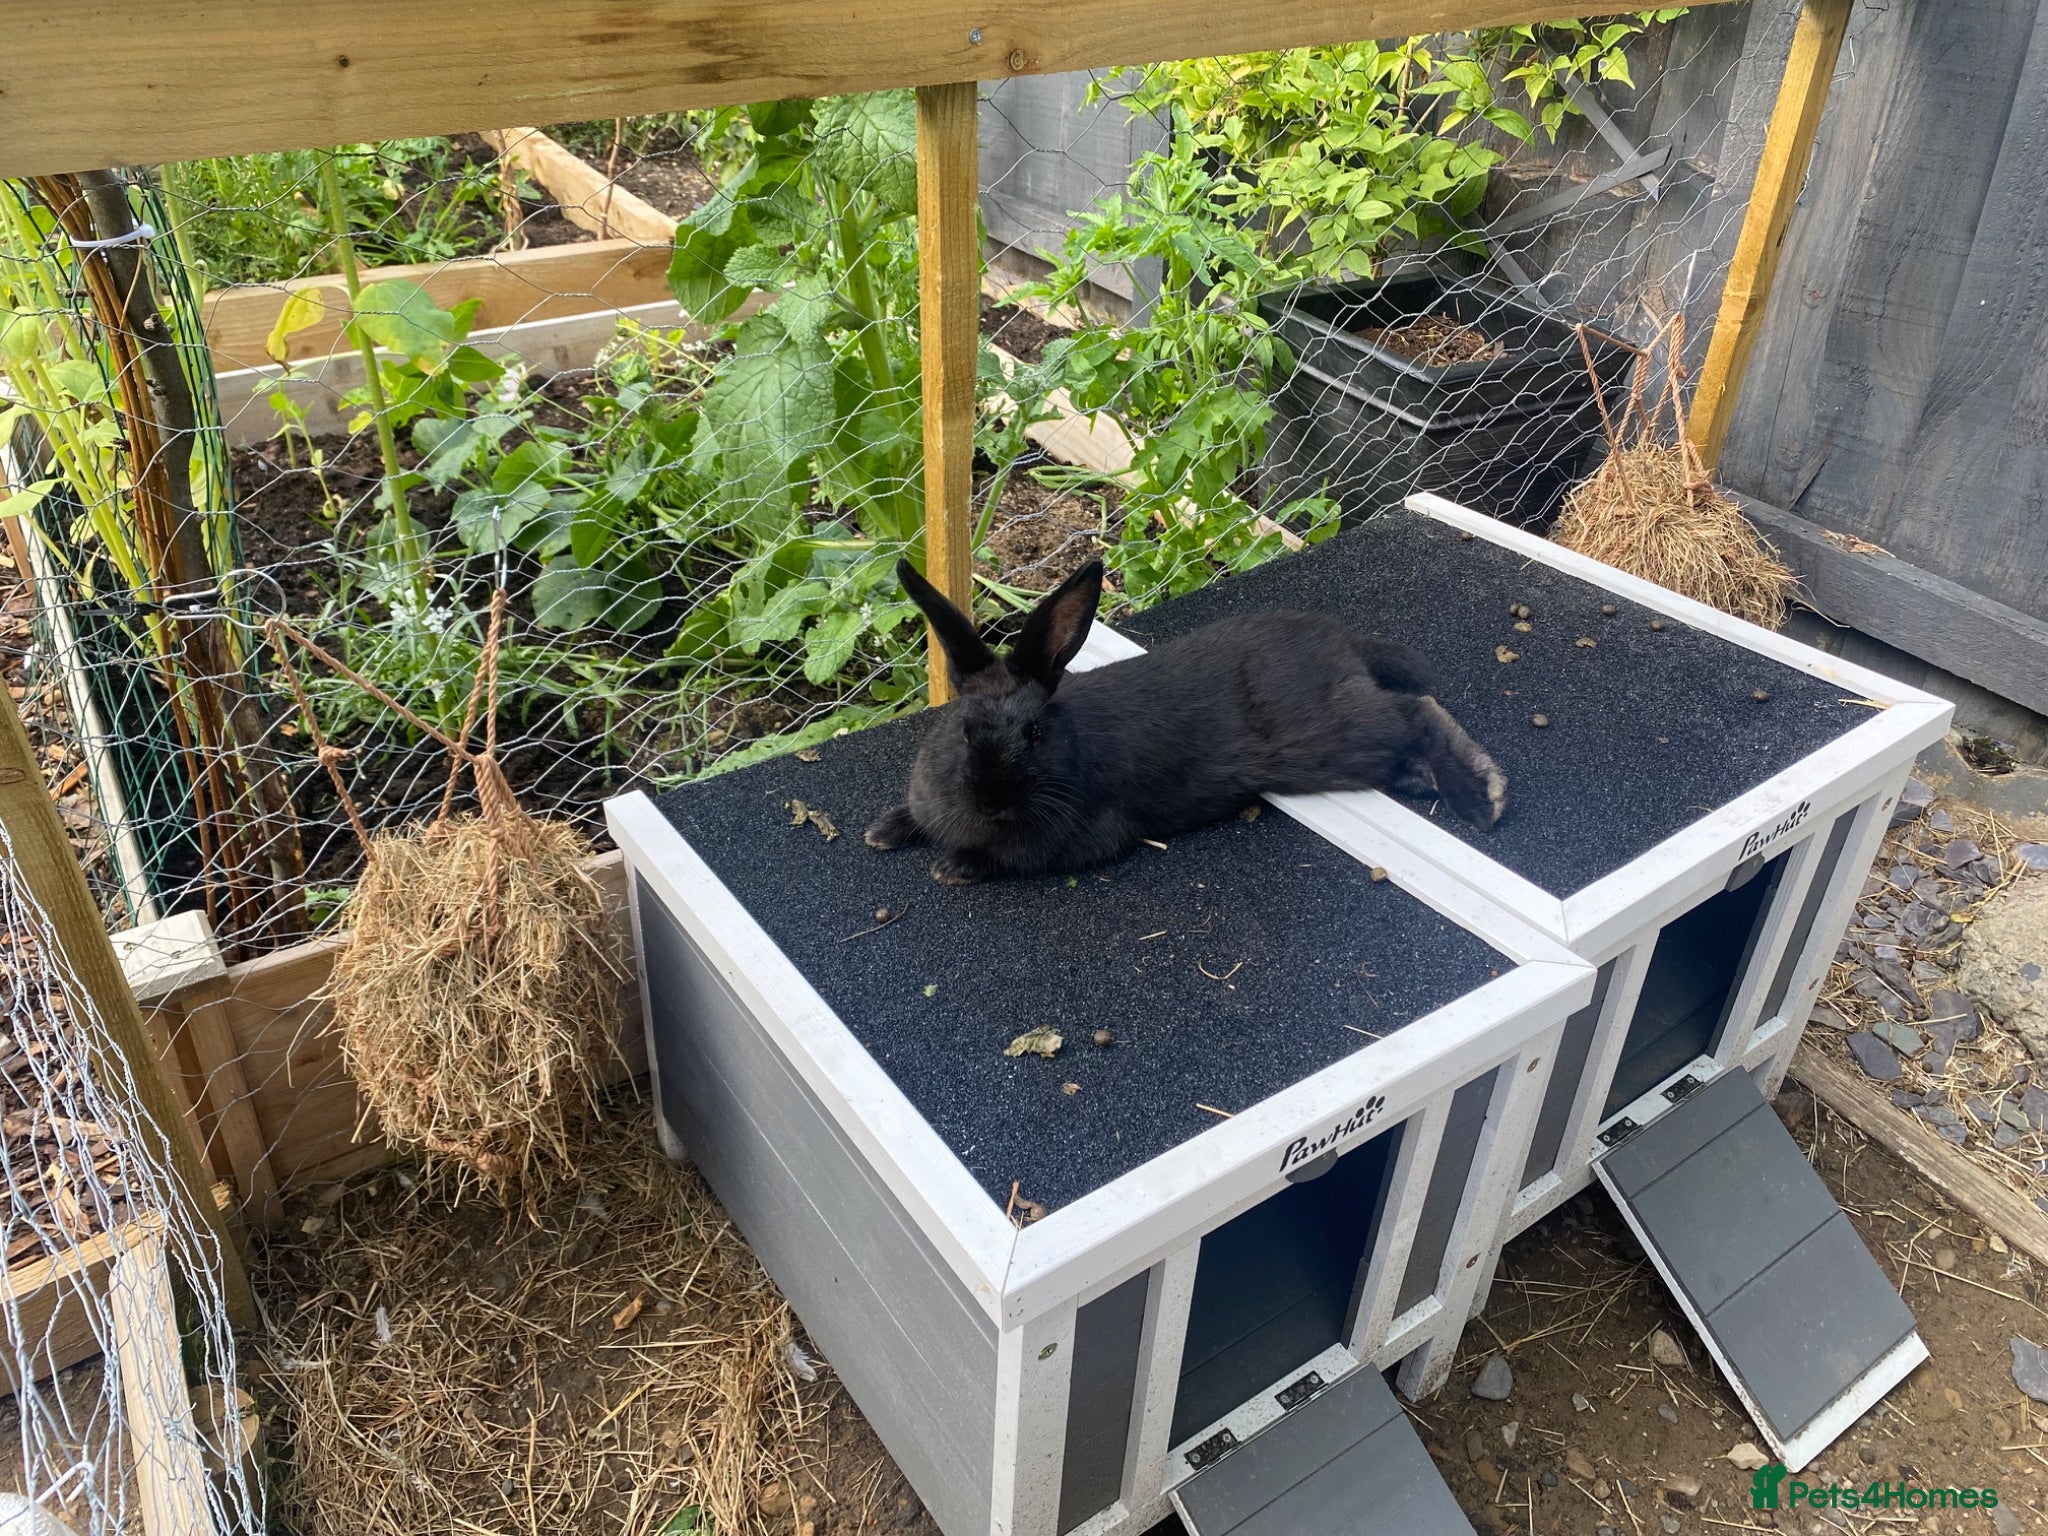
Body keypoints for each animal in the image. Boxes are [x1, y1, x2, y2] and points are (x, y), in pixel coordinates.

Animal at [864, 557, 1506, 884]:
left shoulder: (1081, 835)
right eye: (964, 731)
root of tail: (1345, 640)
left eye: (1035, 734)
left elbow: (1006, 858)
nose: (993, 800)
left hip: (1331, 737)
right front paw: (884, 831)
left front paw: (951, 866)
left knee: (1416, 710)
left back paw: (1482, 798)